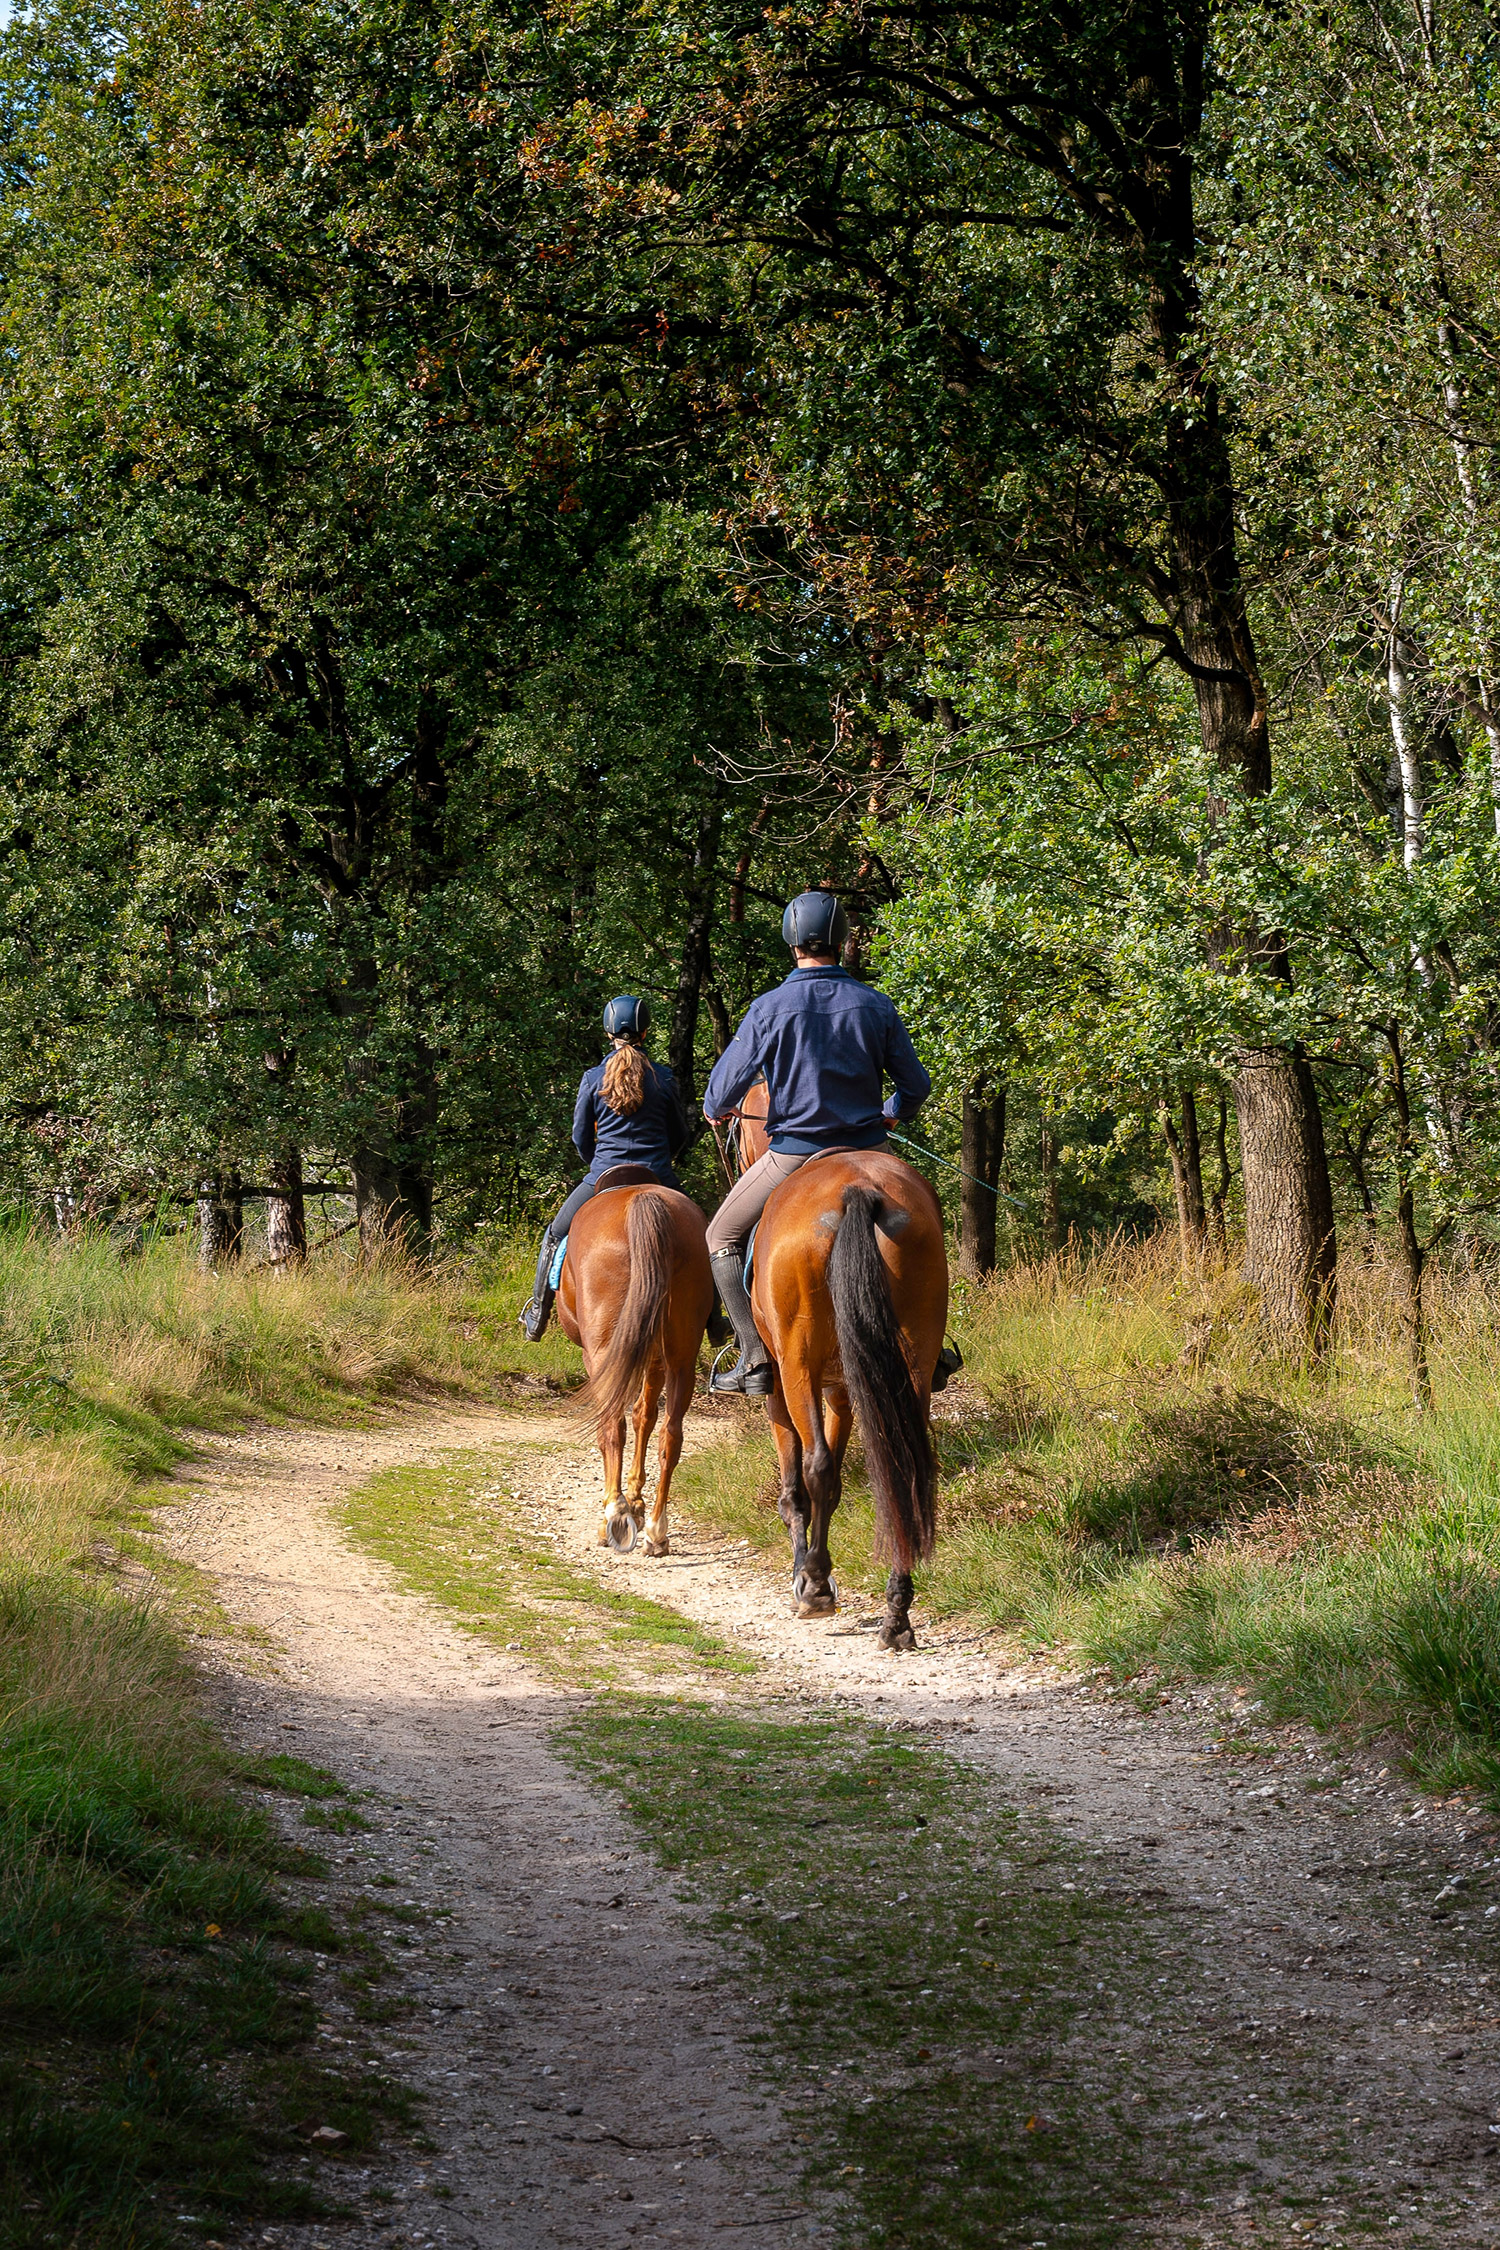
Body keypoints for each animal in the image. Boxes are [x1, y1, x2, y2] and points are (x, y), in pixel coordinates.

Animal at [557, 1170, 715, 1557]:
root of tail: (645, 1201)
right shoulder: (655, 1356)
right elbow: (646, 1415)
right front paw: (637, 1502)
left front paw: (626, 1505)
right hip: (681, 1354)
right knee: (671, 1433)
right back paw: (657, 1531)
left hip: (603, 1349)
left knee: (612, 1423)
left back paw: (612, 1517)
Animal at [728, 1089, 949, 1656]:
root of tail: (859, 1190)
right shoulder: (845, 1388)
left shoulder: (784, 1386)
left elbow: (798, 1483)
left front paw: (808, 1576)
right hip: (909, 1363)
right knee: (904, 1470)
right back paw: (897, 1614)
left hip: (797, 1365)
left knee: (818, 1467)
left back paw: (815, 1588)